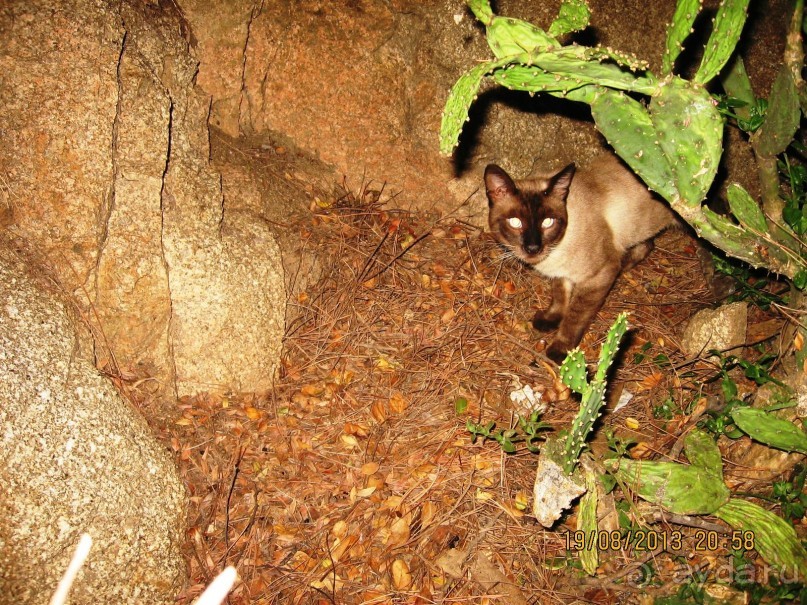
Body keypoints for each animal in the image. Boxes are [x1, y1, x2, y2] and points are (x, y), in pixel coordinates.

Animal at [486, 153, 676, 360]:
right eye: (515, 222)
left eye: (548, 222)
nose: (533, 248)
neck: (555, 252)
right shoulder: (561, 273)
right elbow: (559, 296)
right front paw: (550, 320)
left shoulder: (598, 277)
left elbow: (574, 318)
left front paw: (561, 350)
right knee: (647, 245)